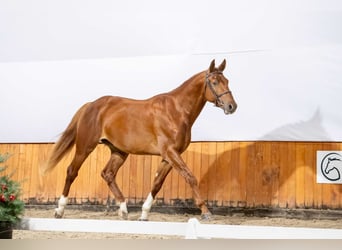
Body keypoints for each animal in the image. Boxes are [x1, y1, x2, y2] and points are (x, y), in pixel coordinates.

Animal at [43, 59, 238, 220]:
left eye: (227, 81)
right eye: (214, 82)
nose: (232, 106)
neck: (176, 111)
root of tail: (91, 105)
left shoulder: (169, 156)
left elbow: (157, 183)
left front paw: (144, 214)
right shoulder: (171, 152)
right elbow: (190, 177)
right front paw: (206, 212)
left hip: (119, 151)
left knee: (108, 174)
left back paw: (124, 211)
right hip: (85, 147)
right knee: (71, 171)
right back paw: (59, 210)